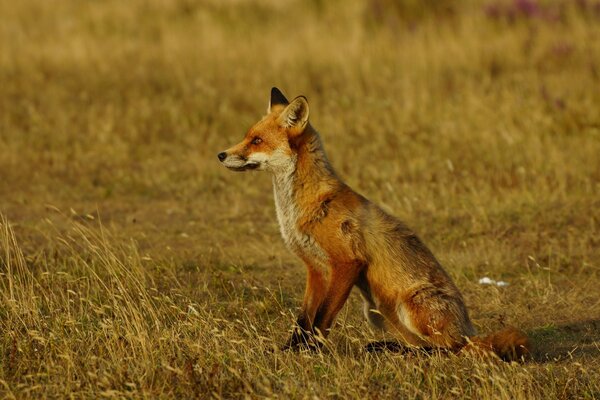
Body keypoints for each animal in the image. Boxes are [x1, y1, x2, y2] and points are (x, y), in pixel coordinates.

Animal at [217, 88, 528, 362]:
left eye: (257, 140)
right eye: (247, 137)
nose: (221, 154)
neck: (298, 209)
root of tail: (468, 331)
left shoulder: (346, 264)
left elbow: (321, 319)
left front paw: (311, 353)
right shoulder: (315, 269)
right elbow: (303, 320)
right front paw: (289, 351)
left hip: (410, 305)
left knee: (450, 349)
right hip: (376, 312)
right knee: (421, 345)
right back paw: (390, 349)